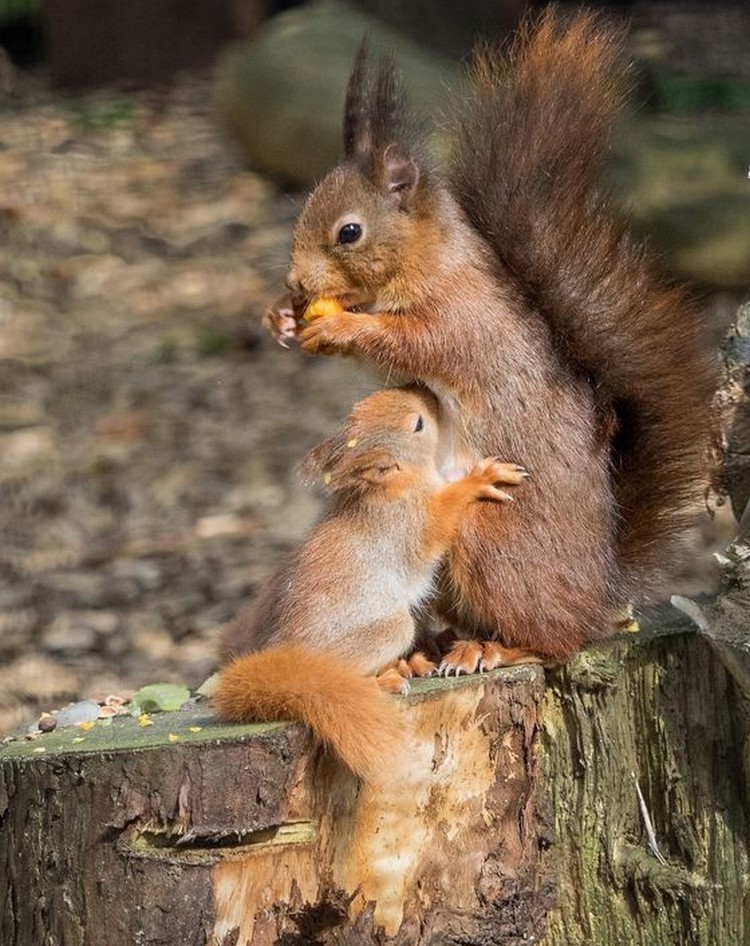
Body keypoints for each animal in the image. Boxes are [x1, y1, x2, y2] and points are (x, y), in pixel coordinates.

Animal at [212, 388, 528, 780]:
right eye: (418, 425)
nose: (424, 391)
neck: (392, 487)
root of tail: (288, 656)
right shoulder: (408, 523)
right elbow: (440, 522)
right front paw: (479, 478)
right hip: (387, 630)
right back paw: (385, 678)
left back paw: (408, 665)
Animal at [262, 9, 716, 672]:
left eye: (349, 232)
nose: (296, 284)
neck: (432, 262)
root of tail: (601, 593)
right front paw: (281, 318)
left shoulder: (464, 319)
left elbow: (414, 345)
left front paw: (340, 326)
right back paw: (432, 649)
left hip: (490, 540)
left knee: (555, 639)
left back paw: (496, 648)